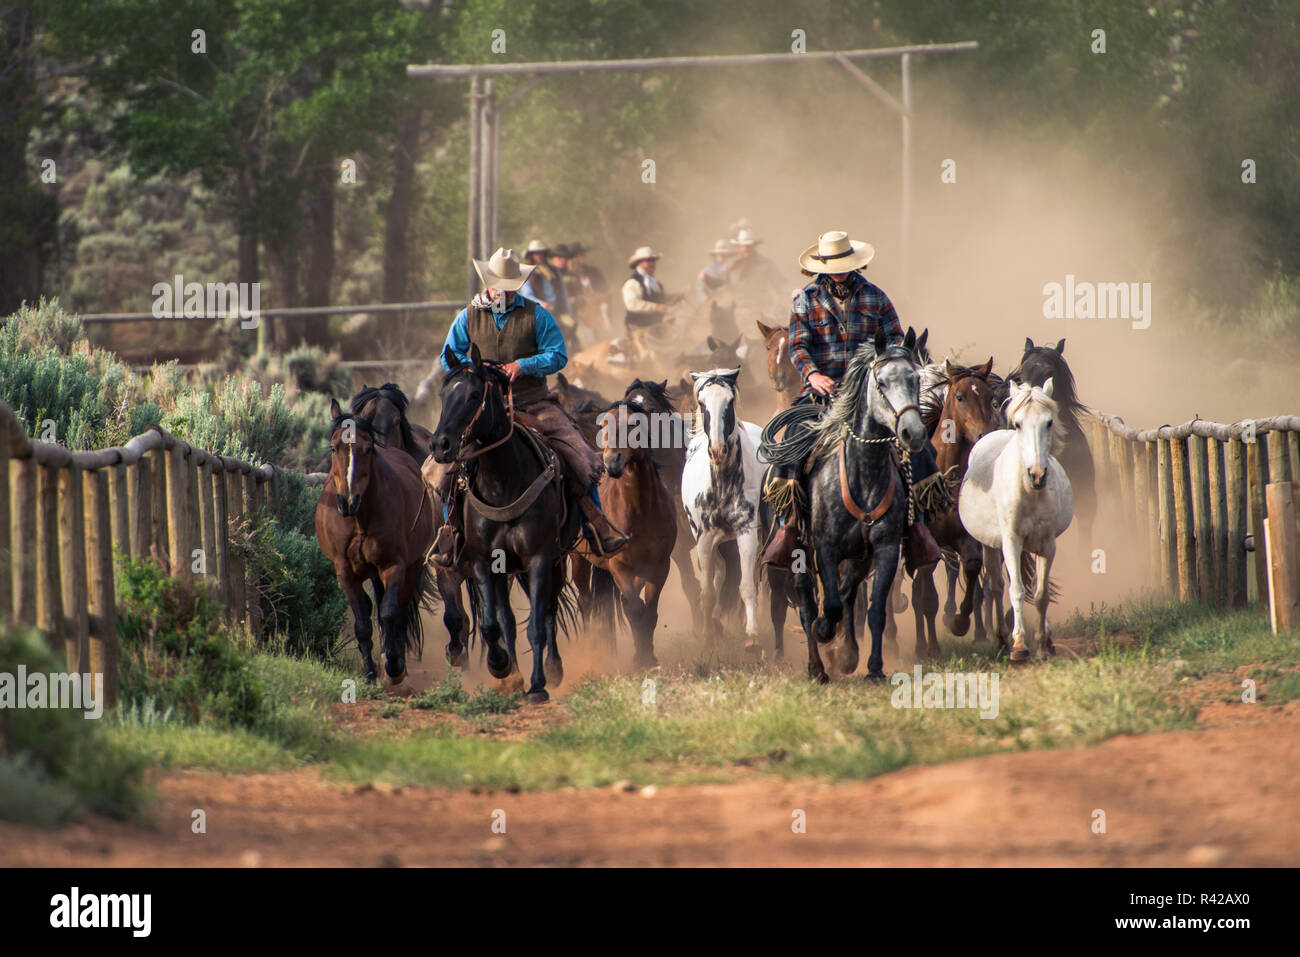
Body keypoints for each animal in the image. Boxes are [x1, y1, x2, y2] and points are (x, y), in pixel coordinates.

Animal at [317, 400, 439, 686]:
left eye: (367, 448)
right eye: (334, 447)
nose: (348, 501)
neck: (360, 519)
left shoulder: (393, 566)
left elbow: (390, 613)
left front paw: (393, 667)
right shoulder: (345, 572)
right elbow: (362, 623)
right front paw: (370, 674)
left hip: (411, 567)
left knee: (401, 609)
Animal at [428, 343, 582, 702]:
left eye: (473, 395)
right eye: (444, 394)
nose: (441, 444)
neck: (502, 483)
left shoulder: (539, 558)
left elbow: (537, 625)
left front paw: (538, 685)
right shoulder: (484, 562)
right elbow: (492, 624)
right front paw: (501, 668)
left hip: (553, 562)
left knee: (549, 610)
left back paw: (553, 669)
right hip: (506, 571)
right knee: (506, 619)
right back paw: (511, 674)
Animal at [676, 369, 764, 647]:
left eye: (730, 401)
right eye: (702, 403)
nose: (717, 451)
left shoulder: (747, 534)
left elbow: (747, 586)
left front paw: (751, 635)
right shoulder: (704, 540)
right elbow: (707, 592)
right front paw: (706, 637)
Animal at [961, 377, 1071, 660]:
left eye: (1049, 422)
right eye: (1019, 423)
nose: (1037, 474)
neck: (1030, 493)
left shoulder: (1047, 544)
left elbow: (1041, 594)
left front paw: (1043, 644)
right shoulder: (1011, 541)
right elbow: (1016, 590)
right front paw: (1019, 645)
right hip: (990, 545)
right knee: (997, 586)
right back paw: (1002, 640)